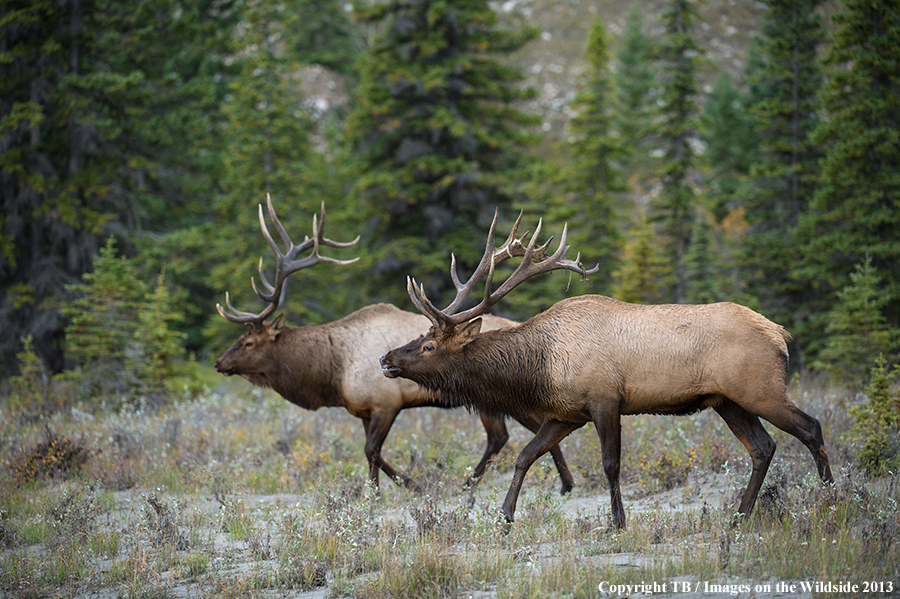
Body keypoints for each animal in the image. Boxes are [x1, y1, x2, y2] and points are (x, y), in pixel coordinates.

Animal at [214, 197, 576, 494]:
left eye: (247, 342)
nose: (219, 363)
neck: (332, 371)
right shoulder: (362, 409)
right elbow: (370, 455)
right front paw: (374, 493)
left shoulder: (386, 404)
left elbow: (371, 451)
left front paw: (409, 485)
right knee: (509, 433)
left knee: (514, 432)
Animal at [379, 210, 834, 529]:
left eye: (428, 344)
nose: (386, 359)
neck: (539, 367)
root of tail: (780, 333)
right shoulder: (565, 414)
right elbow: (525, 456)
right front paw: (504, 517)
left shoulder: (605, 401)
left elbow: (610, 465)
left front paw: (617, 522)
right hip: (726, 401)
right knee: (763, 447)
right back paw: (740, 515)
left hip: (761, 389)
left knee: (810, 427)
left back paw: (831, 499)